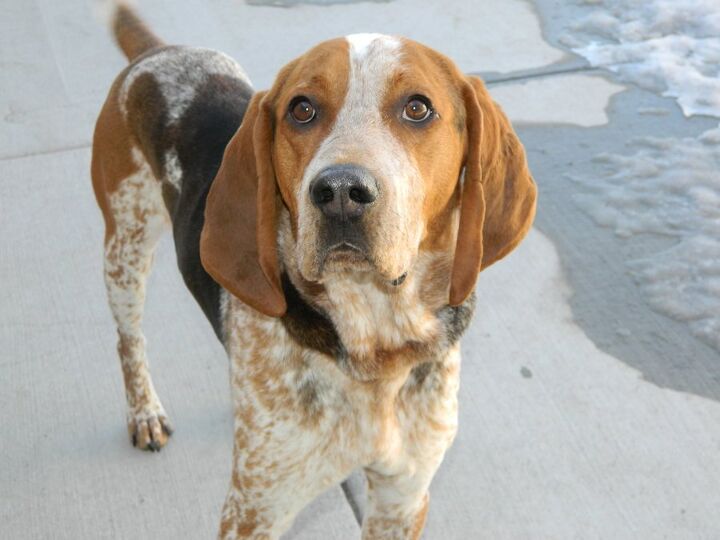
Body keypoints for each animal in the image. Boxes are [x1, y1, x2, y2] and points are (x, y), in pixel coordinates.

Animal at [91, 2, 536, 536]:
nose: (341, 190)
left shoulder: (403, 498)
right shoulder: (253, 510)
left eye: (418, 108)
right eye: (301, 109)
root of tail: (158, 53)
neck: (375, 340)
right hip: (125, 247)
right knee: (128, 339)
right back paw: (144, 413)